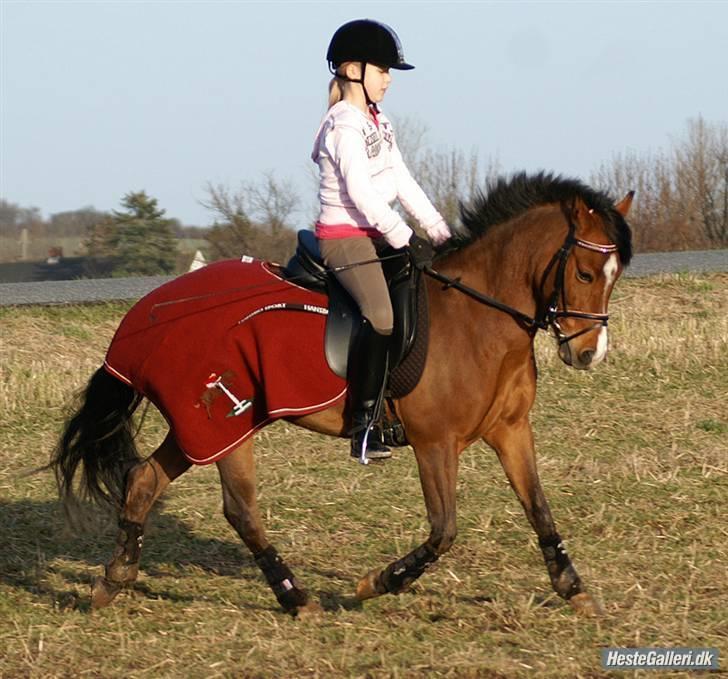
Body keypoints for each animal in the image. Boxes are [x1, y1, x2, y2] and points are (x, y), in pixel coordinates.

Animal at [50, 172, 633, 617]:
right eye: (584, 272)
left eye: (616, 273)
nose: (588, 353)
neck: (478, 317)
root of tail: (147, 313)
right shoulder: (435, 444)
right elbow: (443, 531)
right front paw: (376, 584)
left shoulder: (510, 431)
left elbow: (540, 509)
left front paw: (573, 589)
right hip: (228, 424)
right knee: (240, 510)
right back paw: (296, 598)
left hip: (200, 426)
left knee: (144, 480)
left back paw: (114, 579)